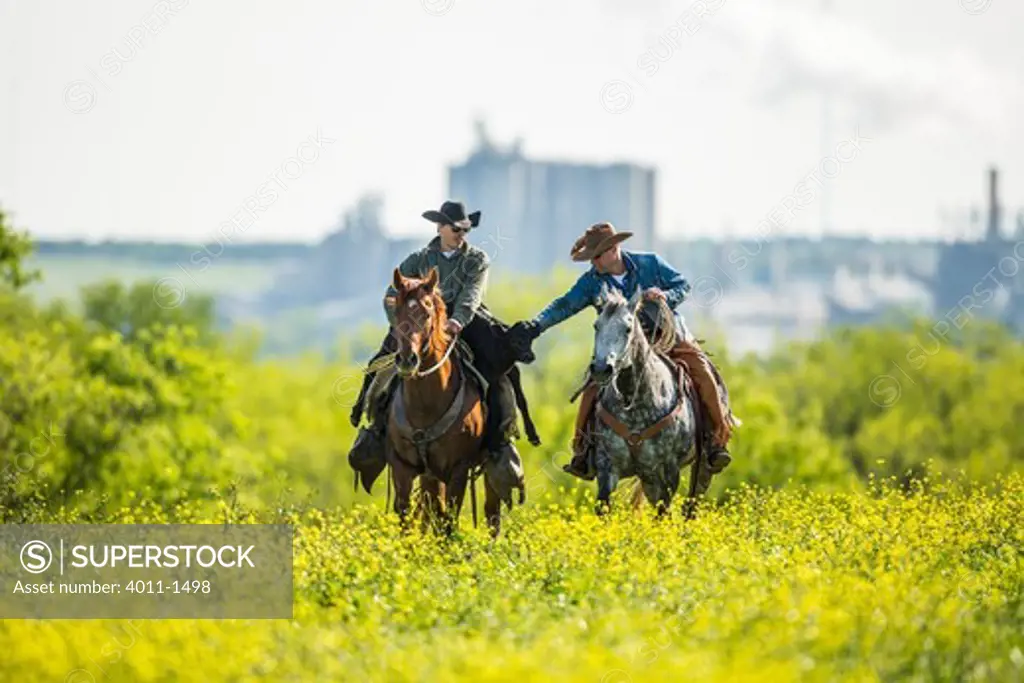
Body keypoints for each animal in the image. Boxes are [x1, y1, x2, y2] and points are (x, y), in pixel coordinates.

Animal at [385, 266, 505, 540]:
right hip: (429, 475)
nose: (407, 360)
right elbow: (407, 518)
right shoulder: (402, 467)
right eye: (396, 312)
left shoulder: (458, 469)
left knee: (492, 511)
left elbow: (448, 521)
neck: (425, 405)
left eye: (427, 313)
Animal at [589, 286, 708, 516]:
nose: (601, 369)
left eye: (628, 329)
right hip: (648, 480)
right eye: (596, 326)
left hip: (695, 472)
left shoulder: (669, 472)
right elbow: (603, 507)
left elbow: (664, 513)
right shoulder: (607, 466)